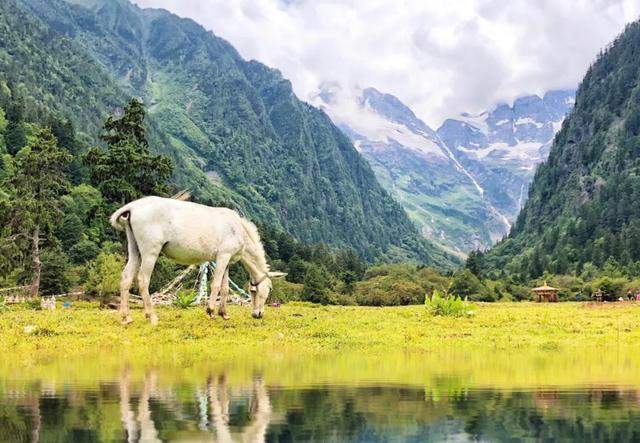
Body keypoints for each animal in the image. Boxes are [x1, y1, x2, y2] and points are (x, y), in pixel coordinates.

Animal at [109, 198, 284, 326]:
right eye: (268, 290)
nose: (258, 314)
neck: (239, 229)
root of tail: (133, 207)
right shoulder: (223, 256)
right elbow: (216, 284)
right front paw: (211, 311)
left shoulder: (227, 260)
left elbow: (225, 288)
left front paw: (224, 313)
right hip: (150, 251)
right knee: (143, 279)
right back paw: (151, 316)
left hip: (135, 250)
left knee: (126, 278)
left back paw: (126, 317)